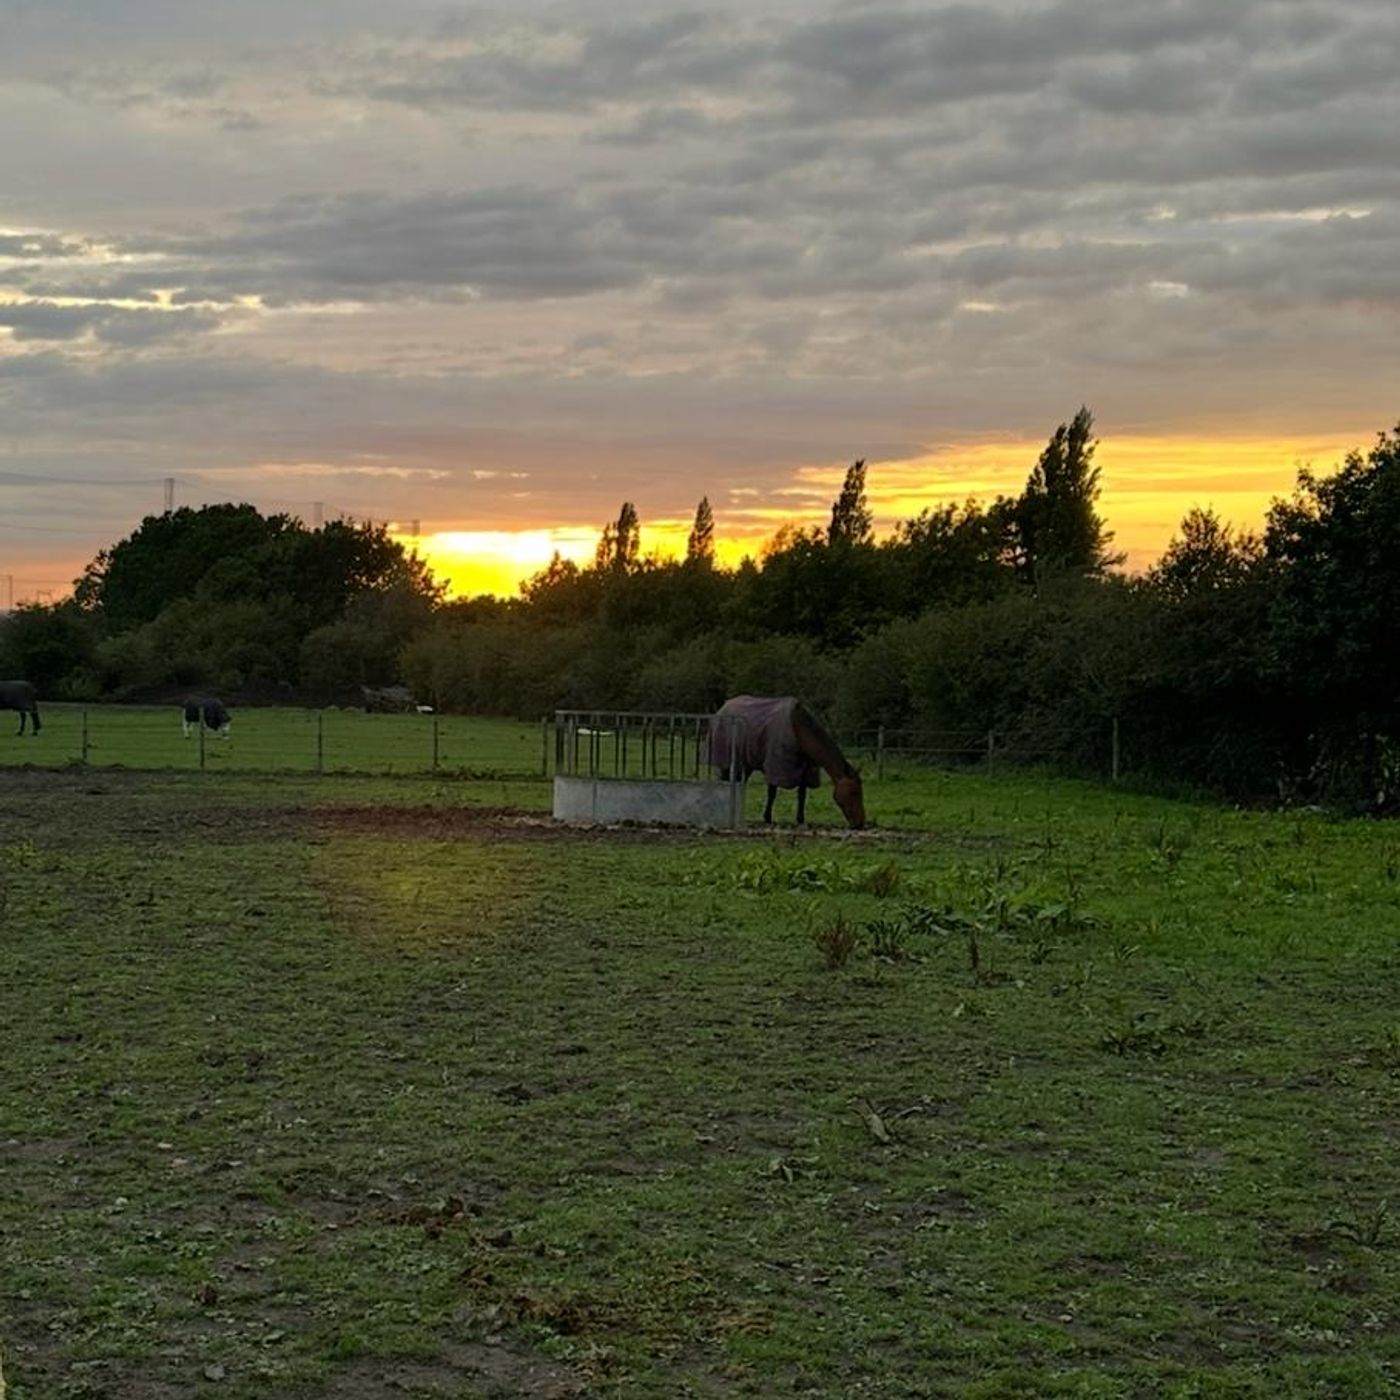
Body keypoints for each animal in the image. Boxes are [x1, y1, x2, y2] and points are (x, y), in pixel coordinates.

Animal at [710, 695, 866, 829]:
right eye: (854, 792)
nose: (860, 823)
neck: (797, 729)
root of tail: (724, 707)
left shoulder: (805, 770)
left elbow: (802, 795)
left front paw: (800, 820)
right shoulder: (775, 767)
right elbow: (772, 793)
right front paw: (767, 818)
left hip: (746, 765)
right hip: (728, 763)